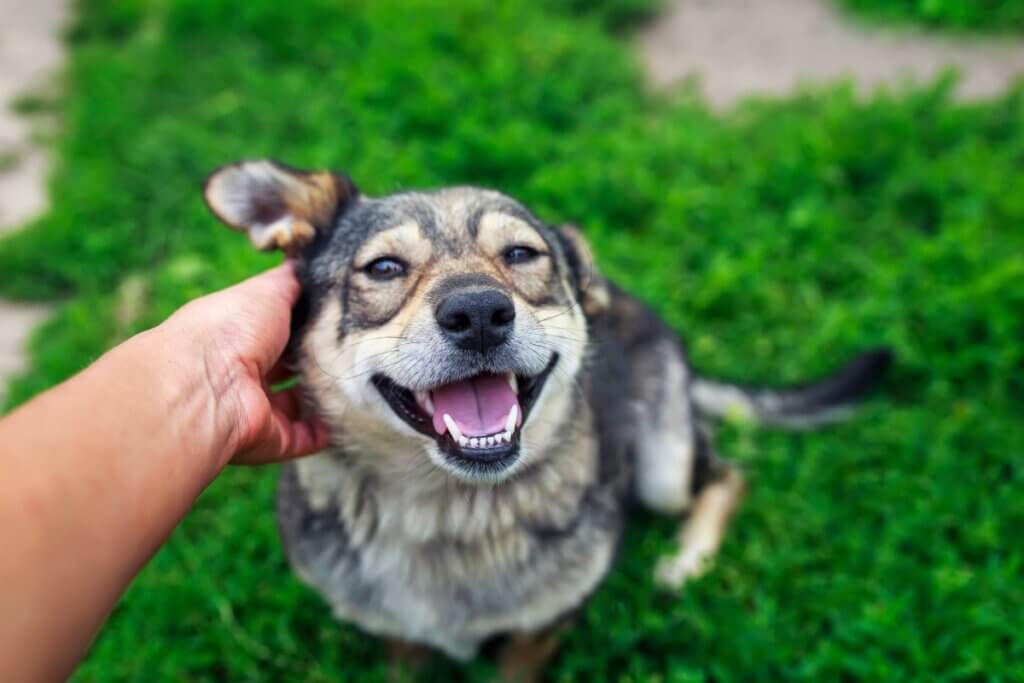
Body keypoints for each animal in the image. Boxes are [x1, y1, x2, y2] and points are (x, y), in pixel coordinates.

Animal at [199, 158, 888, 679]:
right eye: (385, 268)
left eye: (522, 254)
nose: (479, 313)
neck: (448, 513)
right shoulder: (400, 639)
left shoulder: (539, 632)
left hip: (662, 469)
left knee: (728, 473)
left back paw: (687, 559)